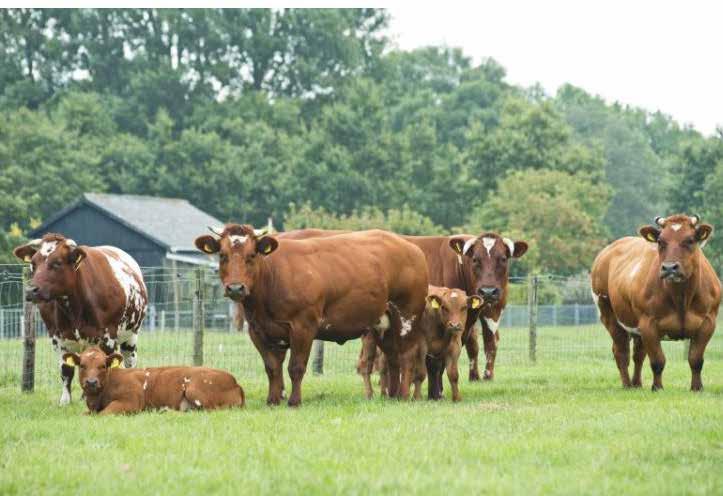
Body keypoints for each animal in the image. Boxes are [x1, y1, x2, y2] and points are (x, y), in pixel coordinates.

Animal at [13, 234, 147, 404]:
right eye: (33, 264)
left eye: (57, 263)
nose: (31, 290)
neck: (75, 308)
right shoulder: (57, 337)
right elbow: (66, 371)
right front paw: (65, 401)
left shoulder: (108, 336)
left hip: (131, 336)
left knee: (130, 361)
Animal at [63, 348, 243, 414]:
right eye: (82, 365)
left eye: (102, 366)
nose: (91, 382)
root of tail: (235, 381)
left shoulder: (130, 402)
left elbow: (104, 413)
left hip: (195, 390)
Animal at [194, 225, 430, 406]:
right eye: (222, 255)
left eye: (251, 255)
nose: (235, 288)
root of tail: (410, 247)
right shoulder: (258, 330)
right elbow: (272, 367)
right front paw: (273, 400)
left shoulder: (303, 326)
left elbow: (296, 367)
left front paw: (294, 401)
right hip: (383, 325)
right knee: (392, 358)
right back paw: (392, 395)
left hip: (408, 315)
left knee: (406, 355)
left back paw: (403, 395)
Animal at [592, 214, 720, 392]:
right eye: (660, 241)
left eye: (689, 240)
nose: (669, 268)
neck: (681, 297)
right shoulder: (648, 323)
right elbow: (658, 360)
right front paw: (657, 387)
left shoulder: (708, 322)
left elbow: (696, 359)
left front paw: (697, 388)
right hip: (609, 315)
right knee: (621, 352)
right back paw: (627, 385)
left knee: (638, 354)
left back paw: (637, 384)